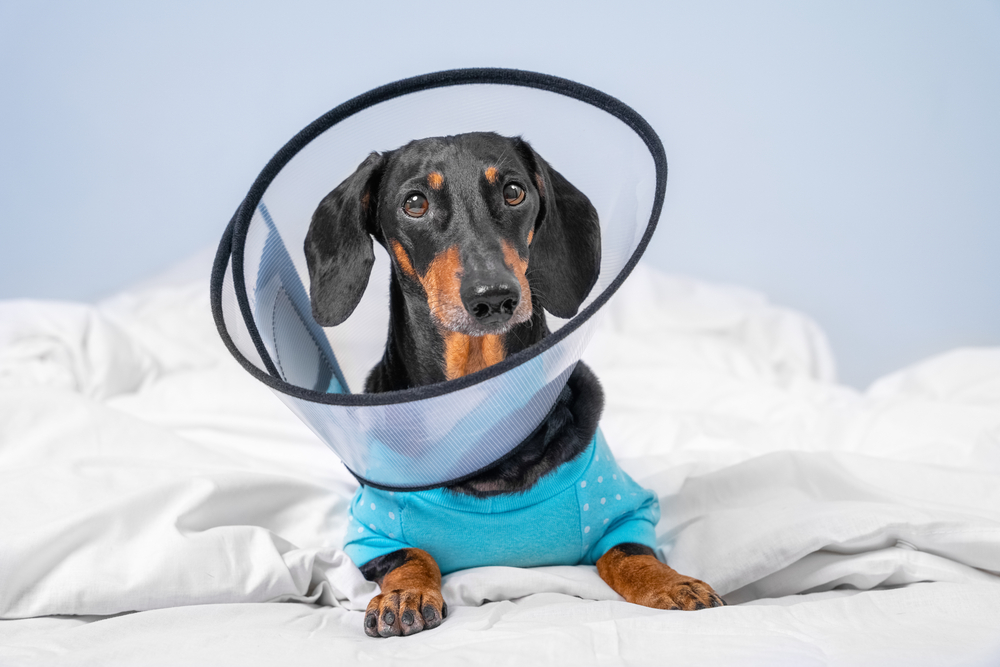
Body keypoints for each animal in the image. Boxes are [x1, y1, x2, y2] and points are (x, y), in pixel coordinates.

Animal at [306, 133, 728, 640]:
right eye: (414, 203)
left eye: (513, 192)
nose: (494, 297)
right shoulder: (371, 533)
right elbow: (412, 555)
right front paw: (405, 594)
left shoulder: (627, 510)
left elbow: (629, 553)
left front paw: (672, 582)